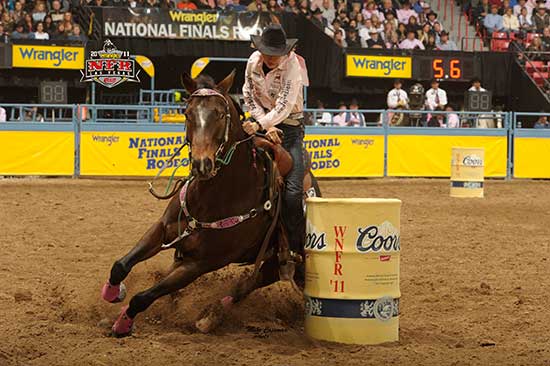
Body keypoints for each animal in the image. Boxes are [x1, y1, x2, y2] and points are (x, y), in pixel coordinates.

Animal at [101, 70, 322, 336]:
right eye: (187, 113)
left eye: (219, 114)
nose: (202, 164)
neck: (212, 197)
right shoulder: (163, 229)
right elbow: (121, 265)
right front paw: (112, 293)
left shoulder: (201, 264)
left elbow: (143, 297)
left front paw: (123, 323)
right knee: (246, 283)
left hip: (282, 258)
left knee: (249, 284)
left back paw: (209, 317)